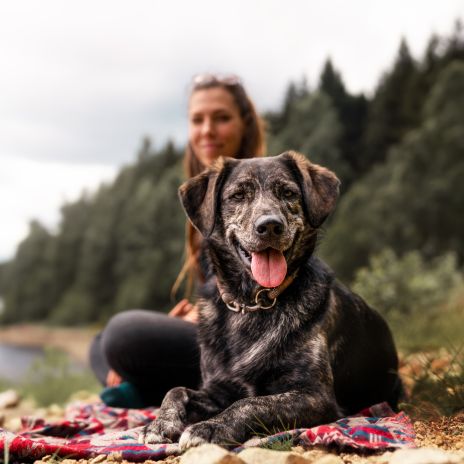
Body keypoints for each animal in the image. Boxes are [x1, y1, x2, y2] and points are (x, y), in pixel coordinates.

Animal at [140, 151, 398, 450]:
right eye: (238, 195)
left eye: (288, 193)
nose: (270, 226)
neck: (251, 304)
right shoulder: (217, 389)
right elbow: (176, 390)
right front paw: (159, 423)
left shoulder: (315, 396)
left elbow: (251, 403)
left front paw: (210, 428)